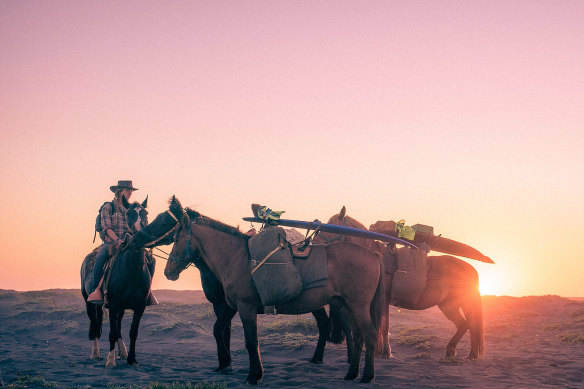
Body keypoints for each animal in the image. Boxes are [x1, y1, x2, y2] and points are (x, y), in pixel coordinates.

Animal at [80, 196, 153, 366]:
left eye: (145, 213)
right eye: (129, 214)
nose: (140, 233)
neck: (132, 271)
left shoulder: (139, 306)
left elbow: (133, 332)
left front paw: (132, 359)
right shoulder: (113, 305)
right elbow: (112, 332)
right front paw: (110, 360)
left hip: (121, 308)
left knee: (118, 326)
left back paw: (123, 352)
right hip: (89, 301)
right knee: (95, 325)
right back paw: (95, 353)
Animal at [164, 211, 386, 384]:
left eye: (175, 239)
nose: (167, 272)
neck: (237, 257)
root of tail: (373, 255)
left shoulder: (245, 308)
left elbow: (251, 342)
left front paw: (254, 375)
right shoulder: (233, 307)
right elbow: (225, 332)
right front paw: (232, 367)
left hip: (358, 306)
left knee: (369, 335)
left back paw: (367, 376)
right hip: (348, 305)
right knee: (357, 336)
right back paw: (351, 374)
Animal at [320, 206, 484, 360]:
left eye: (331, 225)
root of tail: (471, 269)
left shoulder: (383, 300)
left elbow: (384, 326)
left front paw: (385, 353)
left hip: (458, 304)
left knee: (469, 324)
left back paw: (460, 352)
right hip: (449, 305)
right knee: (466, 324)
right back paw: (464, 353)